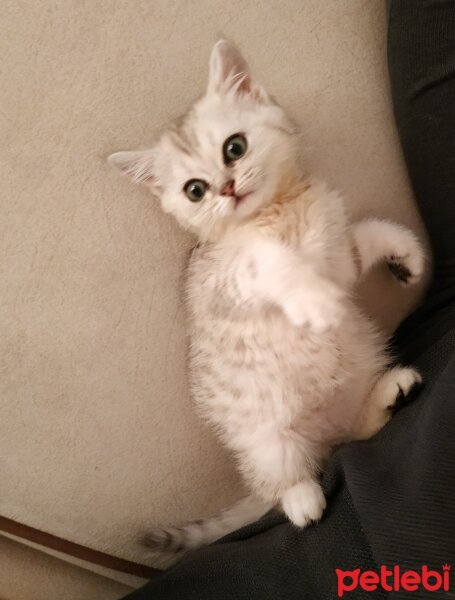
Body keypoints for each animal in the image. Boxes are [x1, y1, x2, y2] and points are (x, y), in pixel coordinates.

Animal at [108, 39, 426, 556]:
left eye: (234, 148)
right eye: (194, 191)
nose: (226, 188)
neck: (280, 211)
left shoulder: (341, 260)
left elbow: (364, 235)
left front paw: (406, 252)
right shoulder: (222, 282)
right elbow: (270, 261)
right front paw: (314, 300)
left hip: (356, 381)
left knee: (351, 436)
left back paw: (387, 394)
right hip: (265, 442)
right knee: (287, 478)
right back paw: (302, 499)